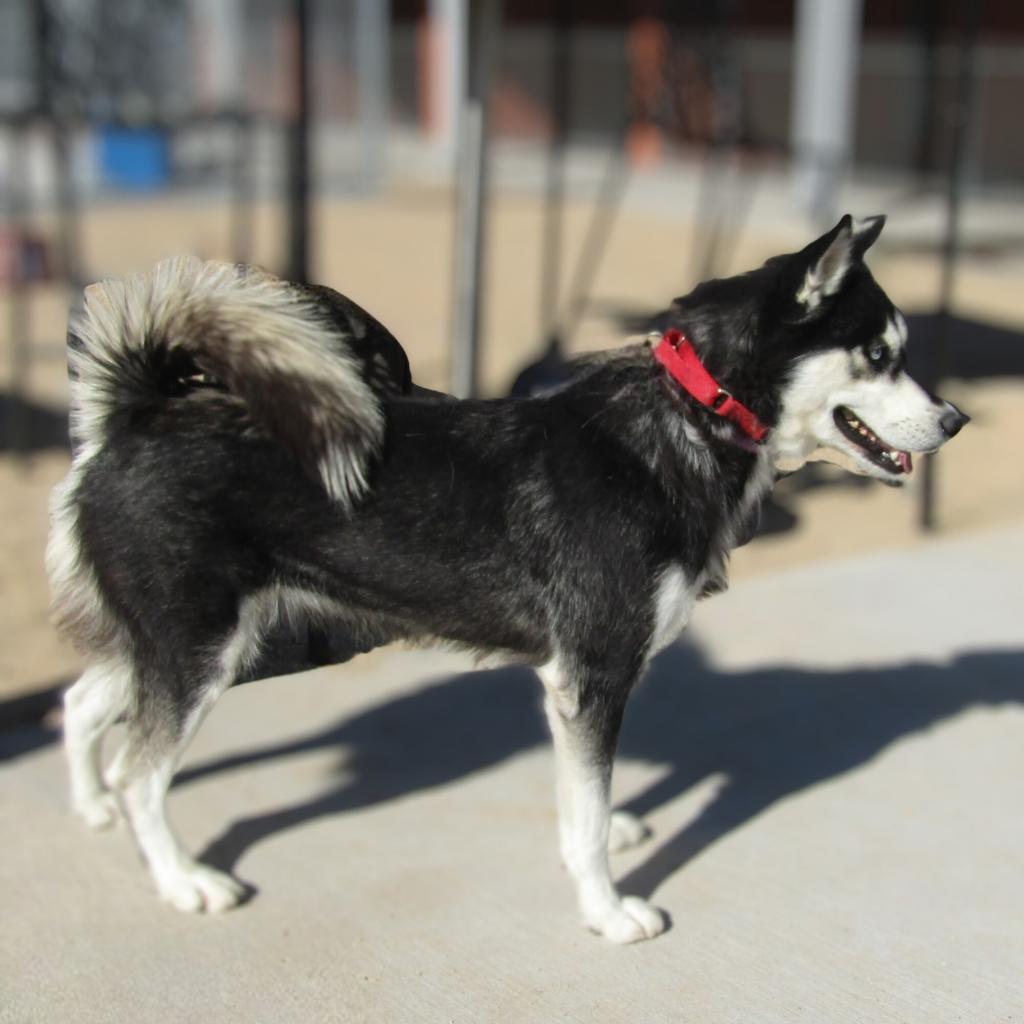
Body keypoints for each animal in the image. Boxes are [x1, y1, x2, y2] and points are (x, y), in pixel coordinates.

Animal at [48, 214, 966, 942]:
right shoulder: (592, 676)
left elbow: (580, 803)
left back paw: (91, 808)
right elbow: (586, 818)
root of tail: (137, 412)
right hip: (208, 649)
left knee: (84, 702)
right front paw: (608, 913)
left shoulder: (571, 685)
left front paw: (604, 851)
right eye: (879, 354)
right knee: (142, 771)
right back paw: (181, 880)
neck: (686, 418)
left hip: (197, 644)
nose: (956, 419)